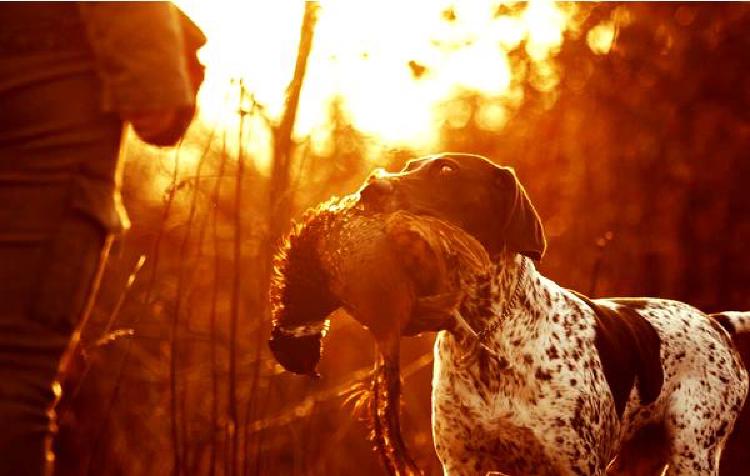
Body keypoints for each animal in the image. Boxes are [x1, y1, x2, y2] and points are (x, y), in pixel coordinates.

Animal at [362, 154, 748, 474]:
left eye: (446, 170)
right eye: (408, 166)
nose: (369, 189)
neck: (487, 333)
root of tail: (715, 321)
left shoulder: (573, 465)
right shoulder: (461, 463)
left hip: (693, 451)